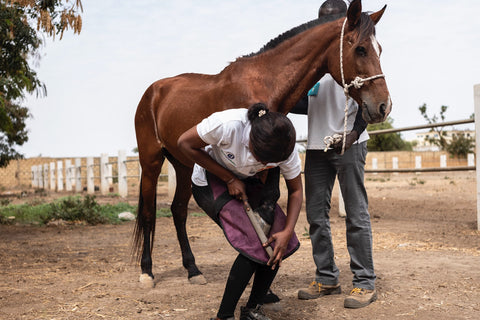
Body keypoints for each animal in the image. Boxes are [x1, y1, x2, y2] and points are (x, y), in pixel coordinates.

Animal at [133, 0, 392, 286]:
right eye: (360, 49)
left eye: (379, 49)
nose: (383, 106)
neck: (264, 83)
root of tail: (154, 92)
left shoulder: (270, 163)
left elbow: (269, 202)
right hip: (151, 161)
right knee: (149, 213)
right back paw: (147, 271)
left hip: (183, 165)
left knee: (178, 211)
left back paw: (193, 270)